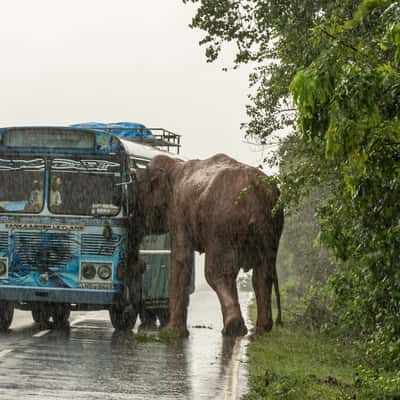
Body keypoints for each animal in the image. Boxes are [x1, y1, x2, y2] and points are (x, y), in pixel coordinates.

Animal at [130, 153, 282, 338]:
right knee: (263, 274)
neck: (174, 165)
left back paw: (233, 328)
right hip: (272, 227)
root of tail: (257, 192)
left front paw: (171, 332)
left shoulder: (178, 212)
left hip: (221, 225)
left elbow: (181, 258)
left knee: (216, 272)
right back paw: (262, 329)